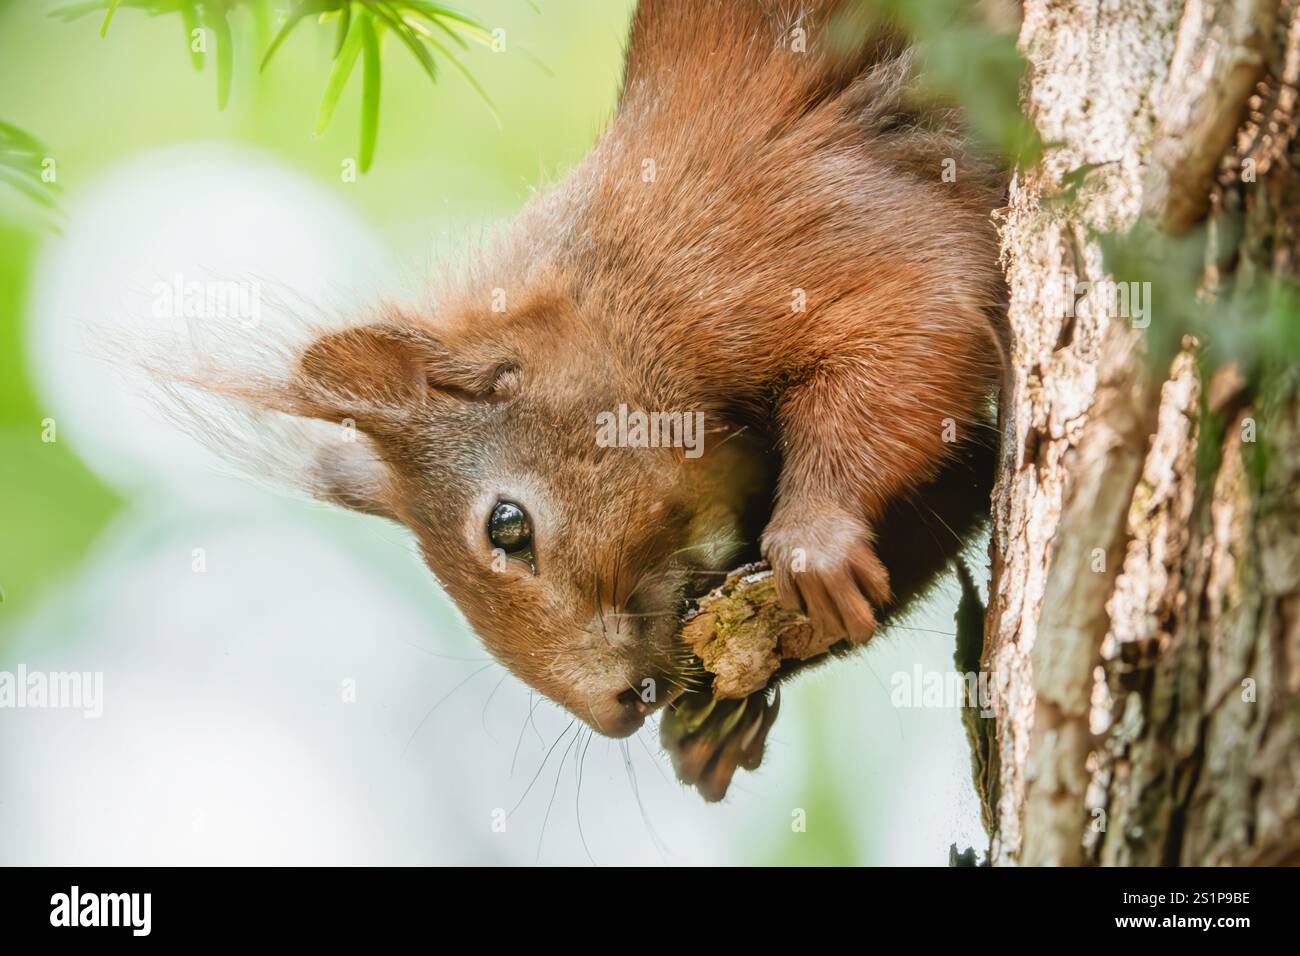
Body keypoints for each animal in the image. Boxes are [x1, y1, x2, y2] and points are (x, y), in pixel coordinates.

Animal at [180, 0, 1008, 741]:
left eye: (507, 525)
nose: (616, 714)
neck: (613, 310)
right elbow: (958, 481)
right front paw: (720, 720)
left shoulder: (784, 232)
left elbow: (918, 321)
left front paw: (814, 537)